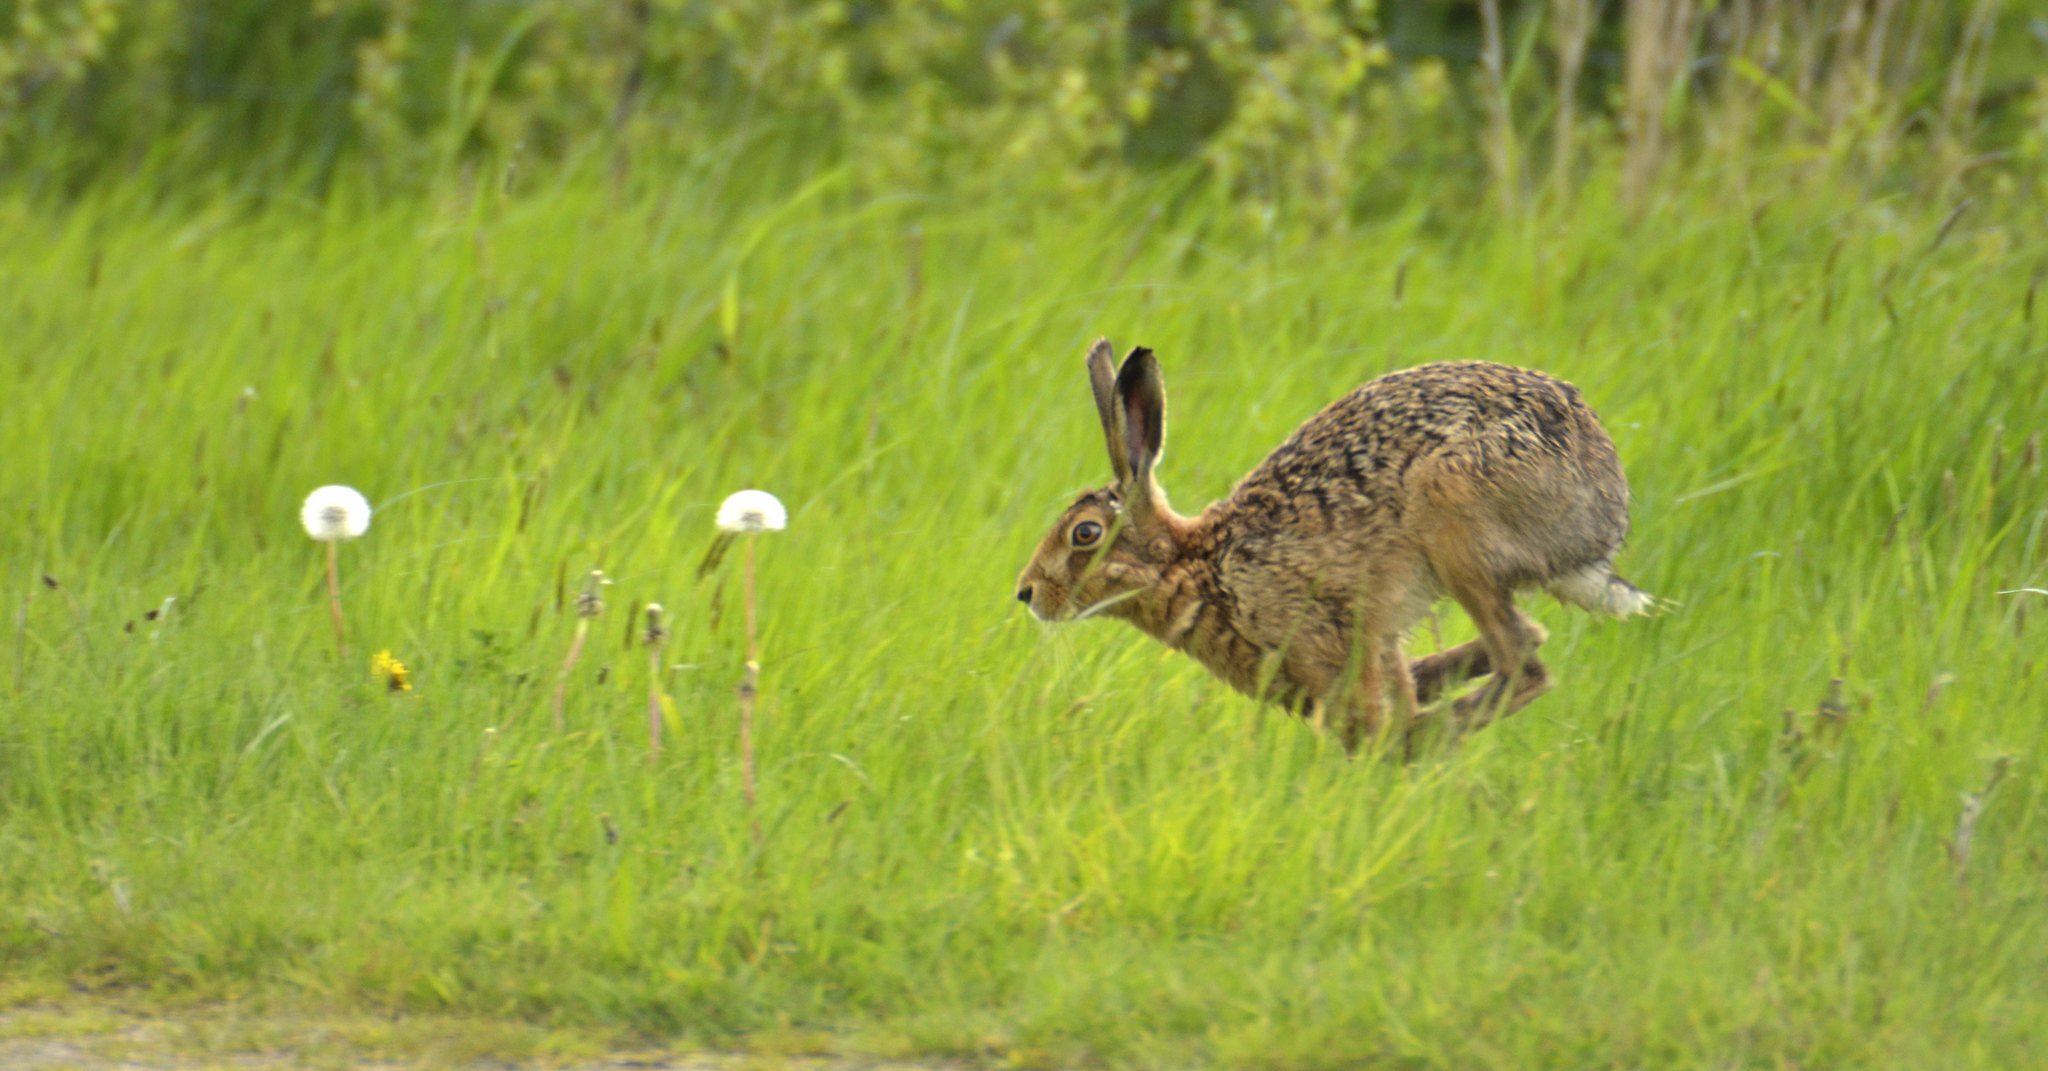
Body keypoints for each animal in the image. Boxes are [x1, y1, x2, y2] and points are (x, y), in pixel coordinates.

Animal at [1015, 338, 1652, 753]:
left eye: (1085, 534)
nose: (1026, 593)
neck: (1196, 566)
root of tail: (1604, 513)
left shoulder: (1326, 634)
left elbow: (1365, 719)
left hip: (1453, 514)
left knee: (1523, 664)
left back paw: (1420, 739)